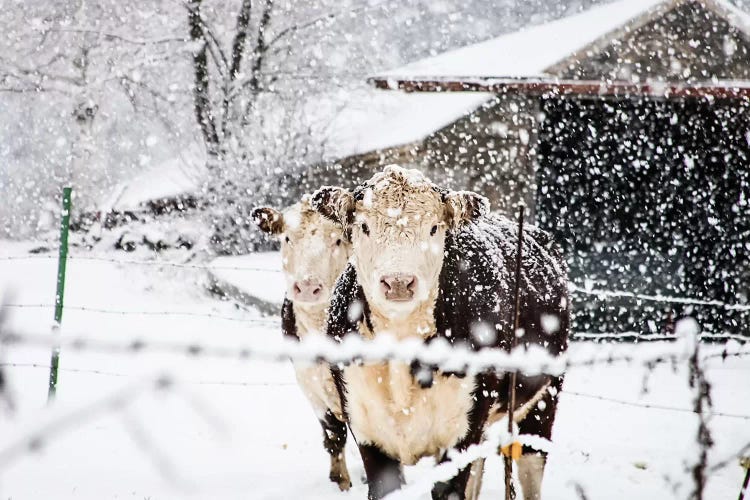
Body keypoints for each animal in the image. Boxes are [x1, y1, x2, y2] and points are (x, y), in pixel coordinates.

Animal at [254, 197, 354, 490]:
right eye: (287, 238)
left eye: (338, 240)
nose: (308, 287)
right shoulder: (310, 383)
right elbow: (334, 435)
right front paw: (341, 483)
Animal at [312, 166, 568, 498]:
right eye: (364, 226)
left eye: (434, 228)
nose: (398, 282)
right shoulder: (367, 431)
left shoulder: (462, 434)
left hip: (545, 395)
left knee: (530, 464)